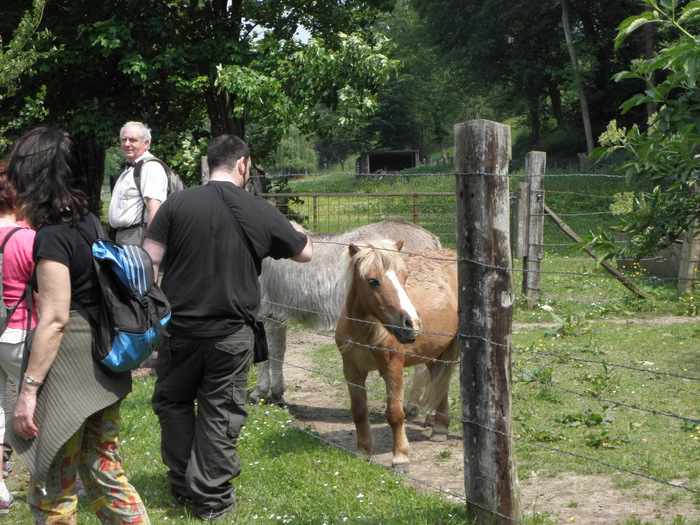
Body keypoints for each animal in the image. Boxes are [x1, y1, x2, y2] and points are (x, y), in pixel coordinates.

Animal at [249, 219, 440, 404]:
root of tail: (431, 240)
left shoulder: (265, 314)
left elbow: (268, 353)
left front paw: (260, 392)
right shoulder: (276, 315)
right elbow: (278, 352)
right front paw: (276, 393)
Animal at [334, 237, 460, 470]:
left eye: (404, 277)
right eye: (373, 281)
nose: (412, 324)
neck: (367, 332)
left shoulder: (393, 369)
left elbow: (395, 413)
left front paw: (400, 457)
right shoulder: (352, 371)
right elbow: (358, 411)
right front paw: (363, 451)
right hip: (432, 352)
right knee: (440, 383)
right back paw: (439, 428)